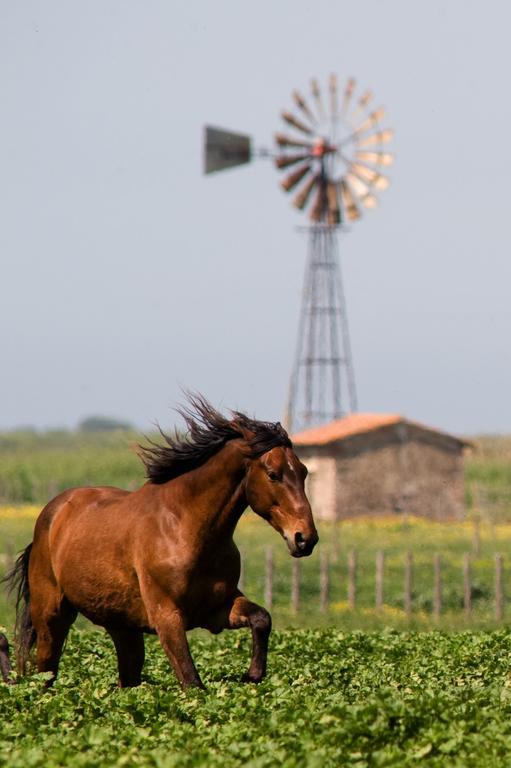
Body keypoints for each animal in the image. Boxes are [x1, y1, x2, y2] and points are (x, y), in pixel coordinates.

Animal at [4, 396, 318, 688]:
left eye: (303, 472)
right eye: (273, 474)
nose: (305, 538)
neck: (187, 530)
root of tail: (51, 514)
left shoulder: (217, 609)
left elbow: (262, 618)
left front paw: (252, 675)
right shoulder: (167, 618)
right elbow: (192, 682)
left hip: (124, 630)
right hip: (51, 618)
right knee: (46, 673)